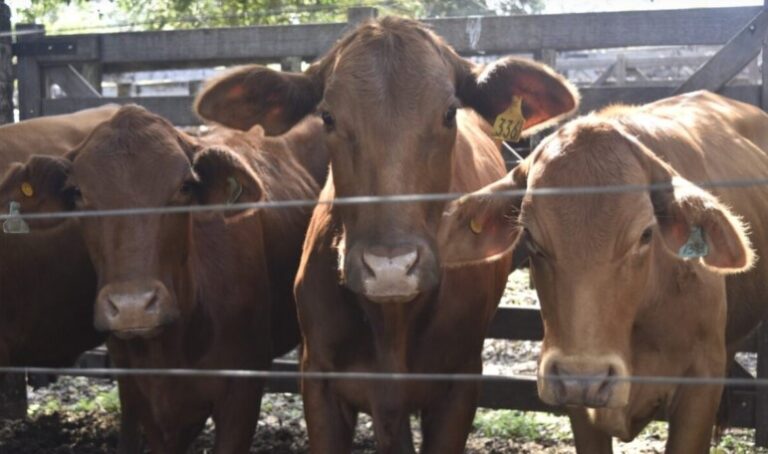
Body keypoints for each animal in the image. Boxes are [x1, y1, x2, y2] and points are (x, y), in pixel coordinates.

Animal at [195, 15, 580, 452]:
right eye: (327, 116)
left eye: (449, 112)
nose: (390, 268)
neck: (392, 324)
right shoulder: (319, 381)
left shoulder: (460, 383)